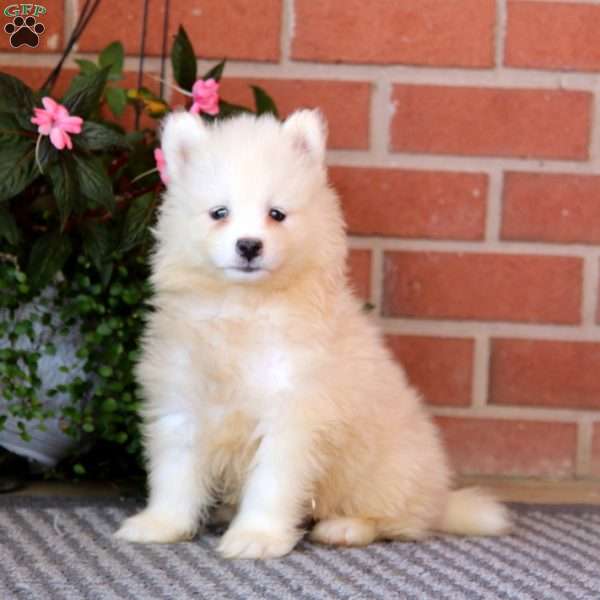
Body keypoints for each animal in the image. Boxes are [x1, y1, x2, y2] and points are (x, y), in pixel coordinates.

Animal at [115, 108, 508, 556]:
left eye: (277, 214)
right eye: (219, 212)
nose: (249, 245)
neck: (243, 307)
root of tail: (441, 498)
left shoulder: (294, 413)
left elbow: (271, 484)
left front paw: (256, 538)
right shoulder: (181, 402)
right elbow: (174, 475)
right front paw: (159, 524)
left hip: (386, 471)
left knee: (397, 519)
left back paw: (344, 528)